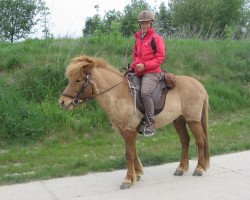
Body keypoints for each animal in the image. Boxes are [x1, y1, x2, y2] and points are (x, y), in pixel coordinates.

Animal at [59, 54, 210, 189]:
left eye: (78, 80)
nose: (62, 102)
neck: (118, 93)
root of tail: (198, 84)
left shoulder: (129, 130)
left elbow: (129, 154)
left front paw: (128, 179)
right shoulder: (124, 131)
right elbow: (133, 152)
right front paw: (137, 174)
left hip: (193, 120)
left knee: (200, 141)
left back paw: (199, 168)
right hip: (178, 120)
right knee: (185, 141)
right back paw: (181, 168)